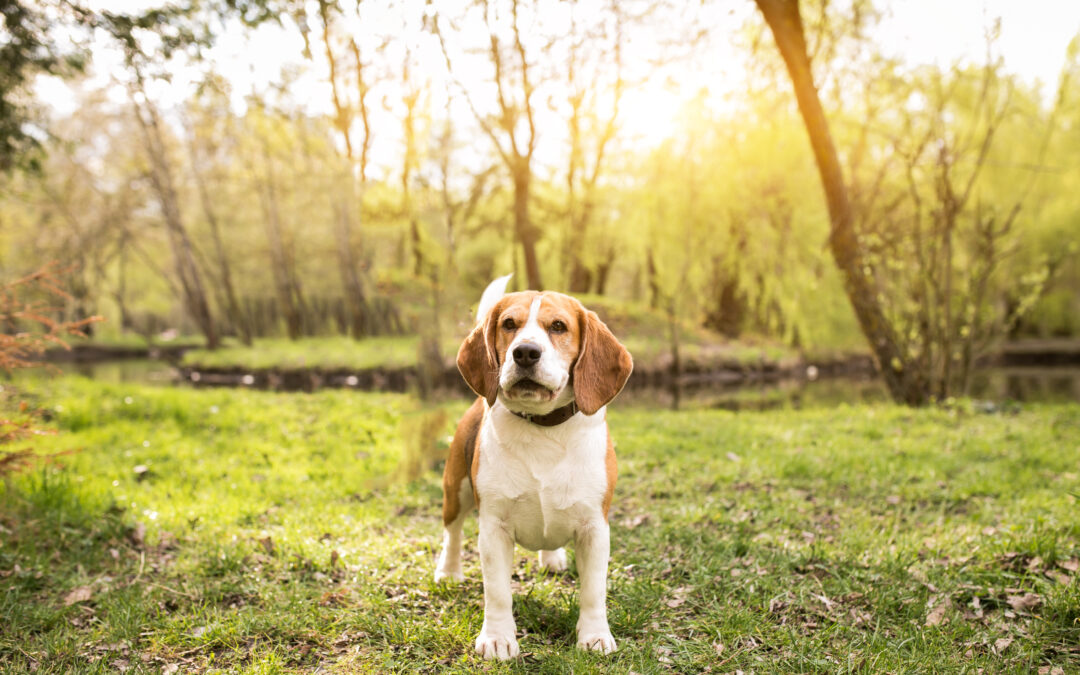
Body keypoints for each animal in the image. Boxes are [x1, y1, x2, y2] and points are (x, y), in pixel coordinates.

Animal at [432, 274, 630, 656]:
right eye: (509, 324)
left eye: (558, 326)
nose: (524, 352)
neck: (543, 428)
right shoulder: (493, 528)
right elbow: (497, 592)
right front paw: (497, 638)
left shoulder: (595, 528)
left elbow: (593, 591)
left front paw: (594, 635)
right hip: (456, 490)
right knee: (452, 532)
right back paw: (448, 572)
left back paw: (552, 558)